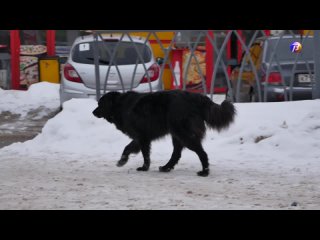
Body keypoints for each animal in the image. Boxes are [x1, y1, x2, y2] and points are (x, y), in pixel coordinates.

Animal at [92, 90, 235, 176]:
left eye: (100, 104)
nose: (93, 112)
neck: (120, 105)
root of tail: (195, 97)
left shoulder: (142, 138)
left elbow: (145, 155)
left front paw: (144, 168)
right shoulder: (141, 137)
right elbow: (128, 148)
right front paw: (122, 161)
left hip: (184, 134)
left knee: (201, 153)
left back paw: (204, 171)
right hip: (177, 135)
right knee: (176, 154)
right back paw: (166, 167)